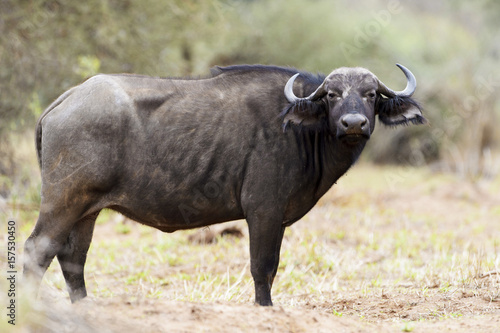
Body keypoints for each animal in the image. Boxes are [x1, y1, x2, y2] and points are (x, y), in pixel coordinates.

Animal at [24, 63, 426, 304]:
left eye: (371, 94)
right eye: (332, 94)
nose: (353, 124)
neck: (300, 130)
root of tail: (66, 99)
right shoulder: (264, 212)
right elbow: (263, 267)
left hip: (87, 210)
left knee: (73, 258)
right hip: (63, 202)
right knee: (37, 251)